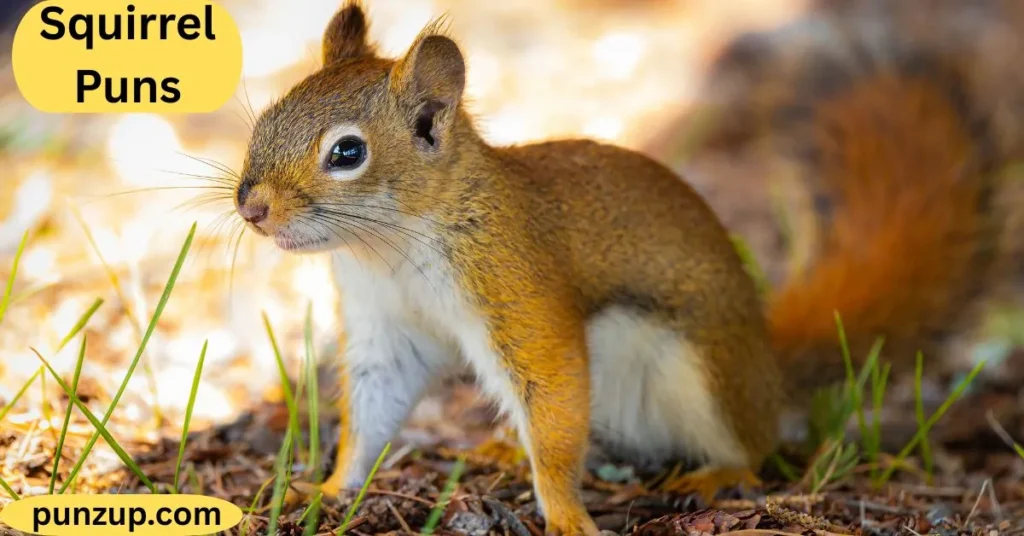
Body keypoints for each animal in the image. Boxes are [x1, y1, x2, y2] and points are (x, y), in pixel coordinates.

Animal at [233, 2, 1003, 534]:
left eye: (347, 153)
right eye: (266, 118)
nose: (251, 207)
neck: (391, 247)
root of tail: (766, 362)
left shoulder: (518, 287)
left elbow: (553, 396)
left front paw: (565, 514)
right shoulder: (384, 326)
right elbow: (370, 414)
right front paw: (331, 488)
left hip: (701, 372)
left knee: (755, 444)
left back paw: (715, 475)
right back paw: (502, 451)